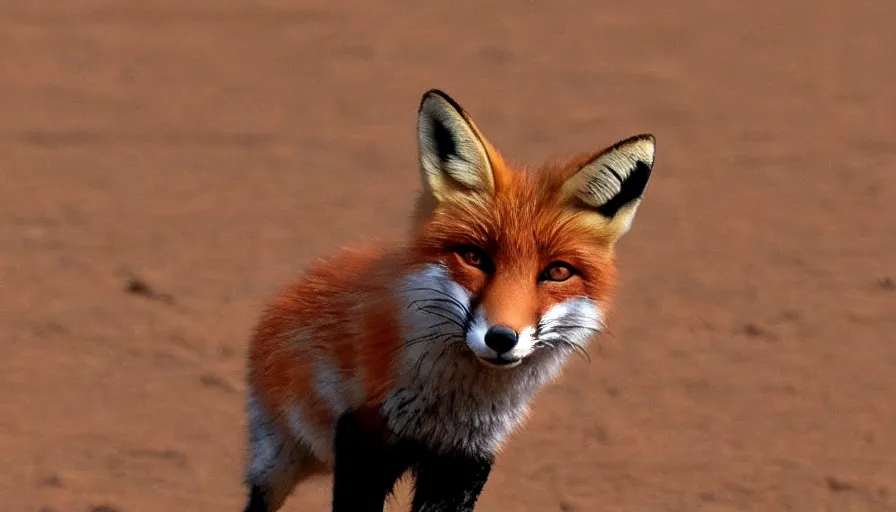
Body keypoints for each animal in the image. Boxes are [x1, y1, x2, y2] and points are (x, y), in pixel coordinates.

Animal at [242, 89, 656, 512]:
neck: (450, 407)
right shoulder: (364, 438)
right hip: (278, 458)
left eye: (557, 272)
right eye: (474, 257)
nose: (501, 338)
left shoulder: (464, 459)